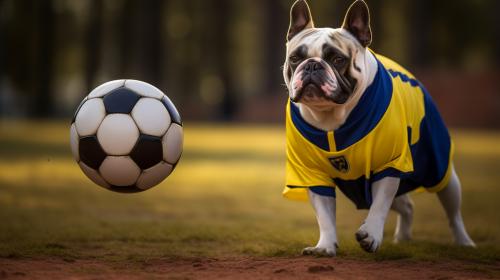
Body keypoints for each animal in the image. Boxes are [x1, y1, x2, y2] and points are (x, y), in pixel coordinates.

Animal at [284, 0, 474, 256]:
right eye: (295, 58)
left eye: (337, 59)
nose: (312, 65)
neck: (331, 117)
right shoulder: (313, 175)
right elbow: (324, 215)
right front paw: (325, 246)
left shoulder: (390, 164)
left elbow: (380, 204)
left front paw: (371, 233)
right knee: (407, 206)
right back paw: (403, 237)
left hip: (441, 172)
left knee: (452, 212)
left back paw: (464, 242)